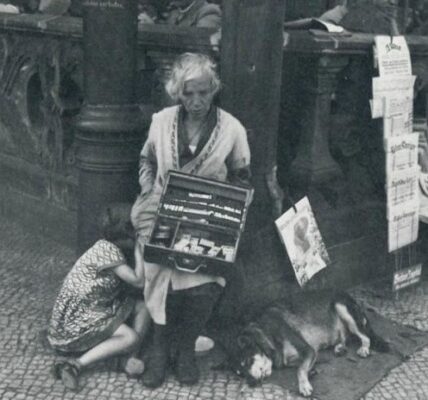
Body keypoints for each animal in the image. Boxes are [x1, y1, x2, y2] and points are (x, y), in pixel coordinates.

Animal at [232, 290, 390, 396]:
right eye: (240, 374)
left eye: (247, 361)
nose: (251, 383)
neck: (268, 333)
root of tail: (350, 296)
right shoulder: (297, 357)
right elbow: (300, 366)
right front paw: (311, 372)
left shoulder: (308, 350)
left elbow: (300, 369)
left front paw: (304, 385)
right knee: (346, 337)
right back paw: (340, 348)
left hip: (342, 308)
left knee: (365, 337)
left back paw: (364, 348)